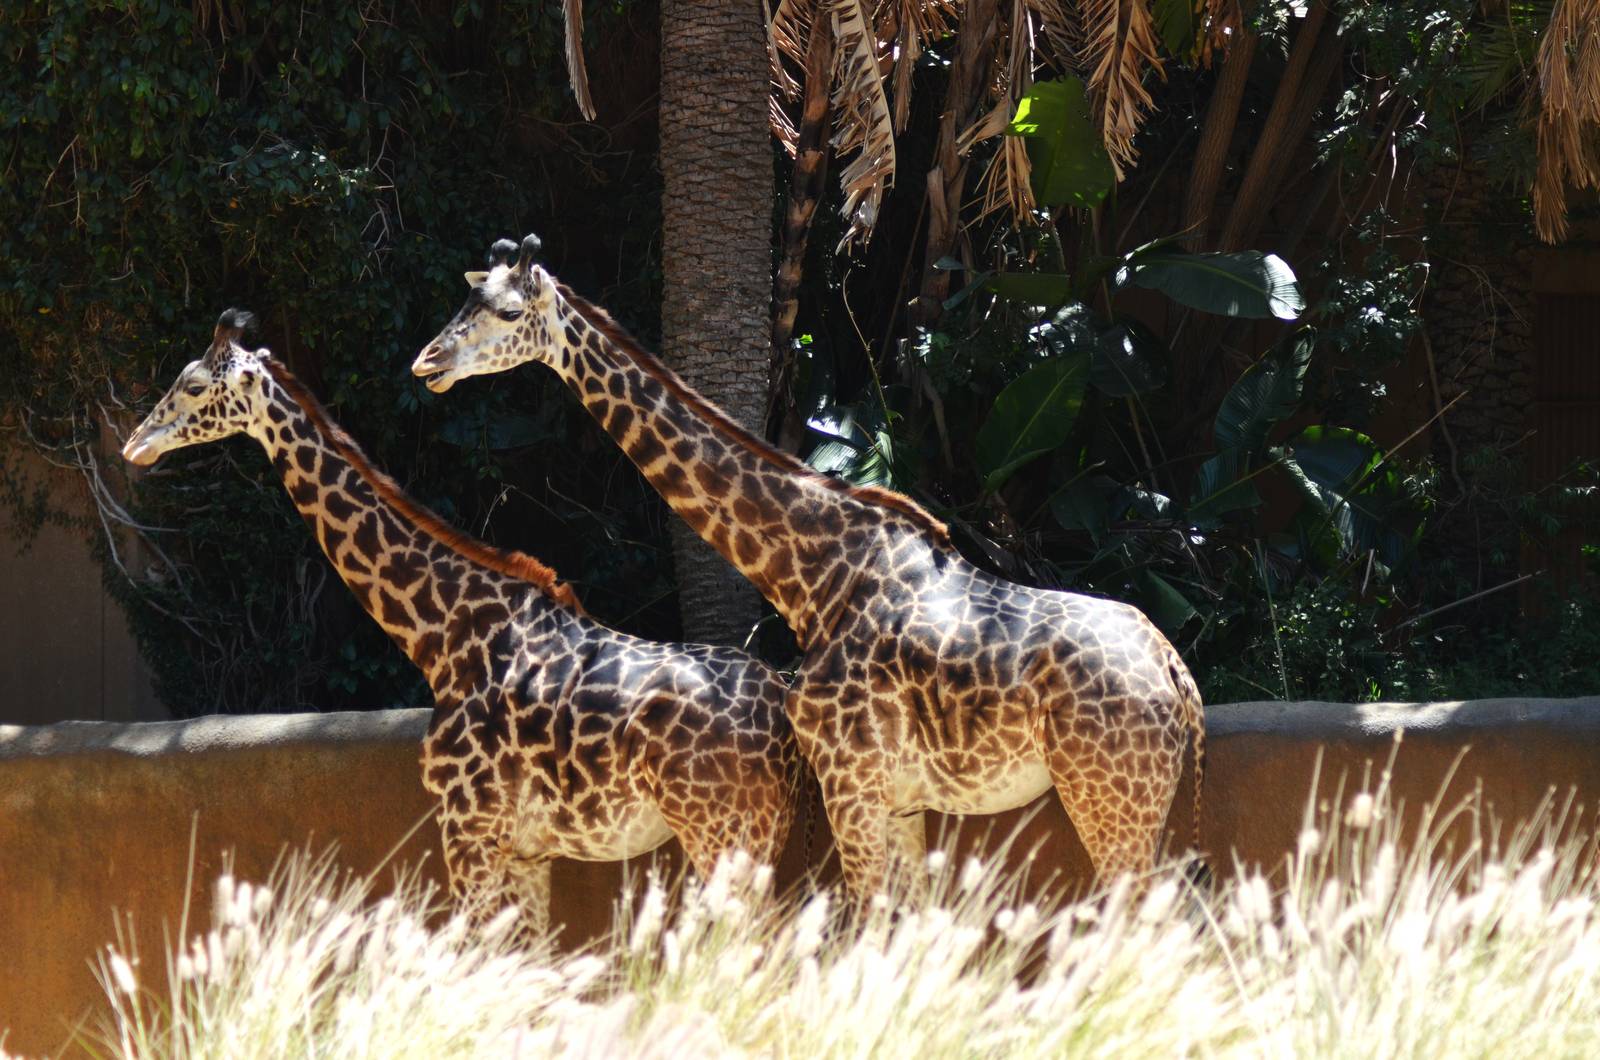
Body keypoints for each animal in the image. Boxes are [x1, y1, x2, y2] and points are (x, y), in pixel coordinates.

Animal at [122, 309, 805, 938]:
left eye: (191, 385)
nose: (135, 443)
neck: (441, 632)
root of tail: (777, 704)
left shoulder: (467, 829)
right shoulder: (526, 850)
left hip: (718, 827)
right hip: (759, 831)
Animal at [413, 237, 1206, 901]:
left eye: (507, 311)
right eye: (460, 304)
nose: (427, 362)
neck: (814, 574)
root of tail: (1178, 675)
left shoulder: (850, 780)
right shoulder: (898, 799)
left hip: (1109, 796)